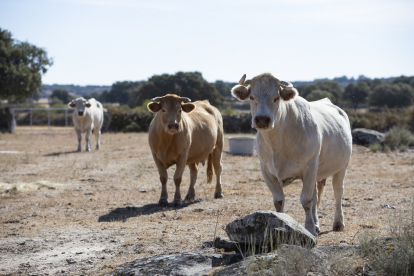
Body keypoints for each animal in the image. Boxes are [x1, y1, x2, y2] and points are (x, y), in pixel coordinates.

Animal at [231, 73, 350, 235]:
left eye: (276, 98)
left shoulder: (309, 168)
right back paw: (317, 224)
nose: (262, 119)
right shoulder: (266, 170)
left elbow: (306, 201)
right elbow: (279, 201)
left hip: (341, 166)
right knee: (315, 195)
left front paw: (310, 229)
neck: (278, 144)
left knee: (338, 191)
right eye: (252, 97)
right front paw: (282, 222)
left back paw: (338, 223)